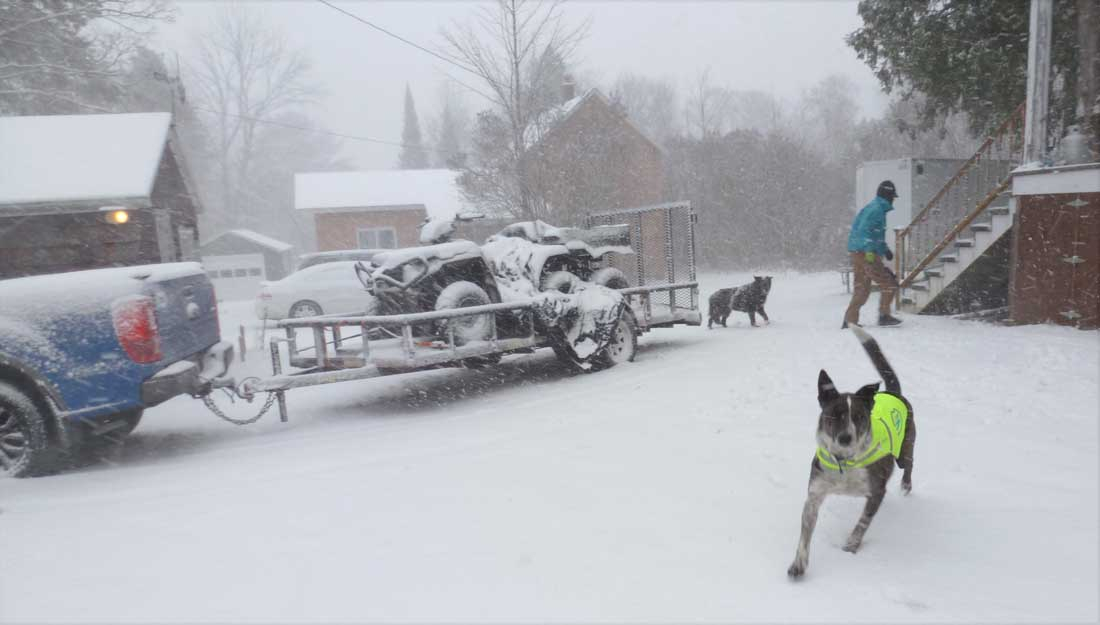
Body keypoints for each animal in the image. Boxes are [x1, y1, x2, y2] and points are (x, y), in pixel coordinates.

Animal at [787, 326, 916, 579]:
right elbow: (805, 532)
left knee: (909, 464)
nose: (845, 438)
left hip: (905, 450)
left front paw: (851, 546)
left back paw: (906, 485)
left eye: (858, 417)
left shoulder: (876, 491)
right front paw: (799, 563)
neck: (844, 462)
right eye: (834, 415)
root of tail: (893, 393)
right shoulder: (815, 494)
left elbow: (863, 523)